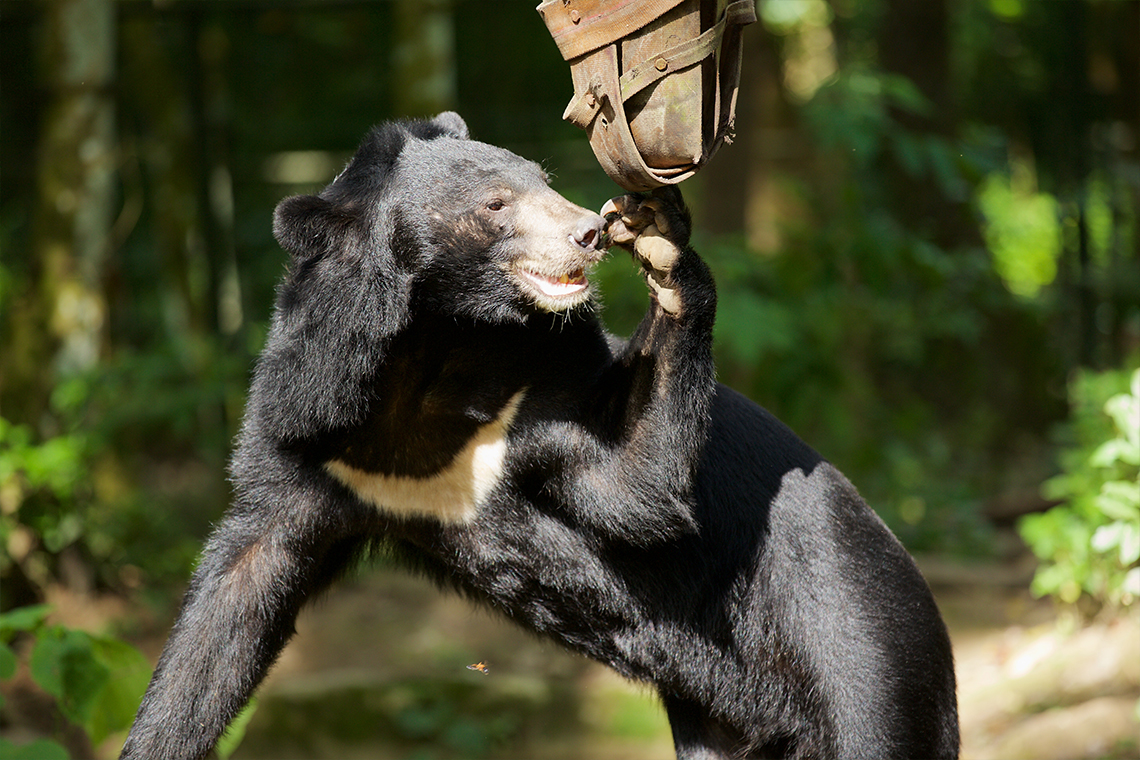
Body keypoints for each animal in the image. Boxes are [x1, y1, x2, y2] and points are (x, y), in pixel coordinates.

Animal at [120, 112, 958, 760]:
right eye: (496, 202)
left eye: (545, 178)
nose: (590, 232)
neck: (435, 350)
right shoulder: (310, 427)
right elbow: (237, 594)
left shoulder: (544, 386)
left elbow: (634, 493)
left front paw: (662, 243)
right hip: (727, 717)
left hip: (859, 640)